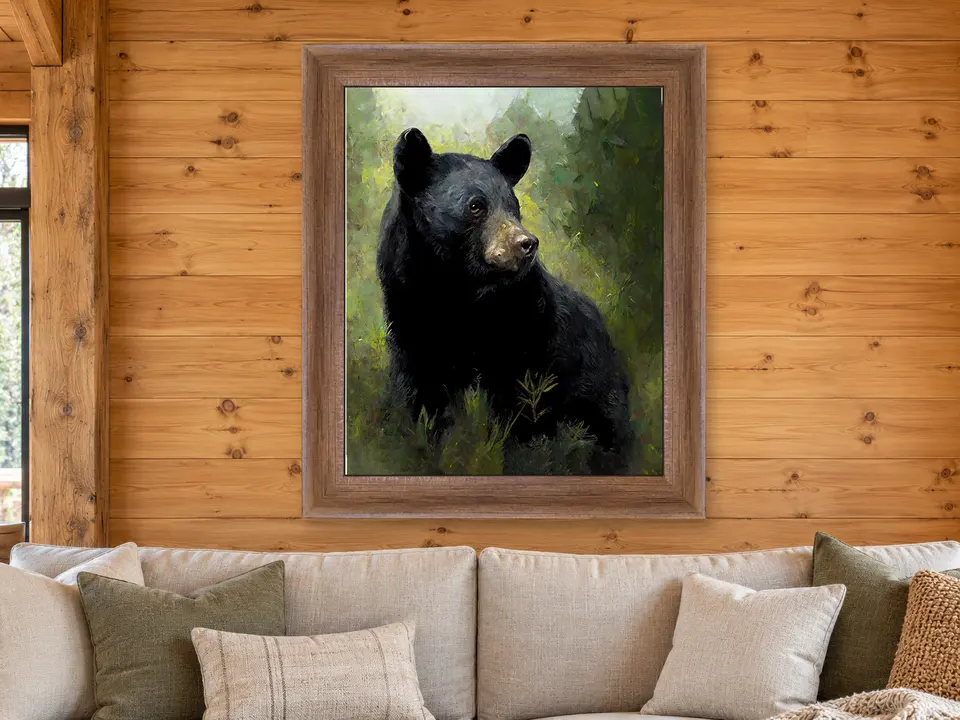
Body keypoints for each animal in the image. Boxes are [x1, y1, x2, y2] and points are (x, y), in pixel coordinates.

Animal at [376, 127, 634, 474]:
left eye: (513, 205)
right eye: (475, 206)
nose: (527, 243)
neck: (454, 293)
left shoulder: (524, 332)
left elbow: (519, 407)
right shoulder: (410, 321)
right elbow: (423, 398)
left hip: (597, 388)